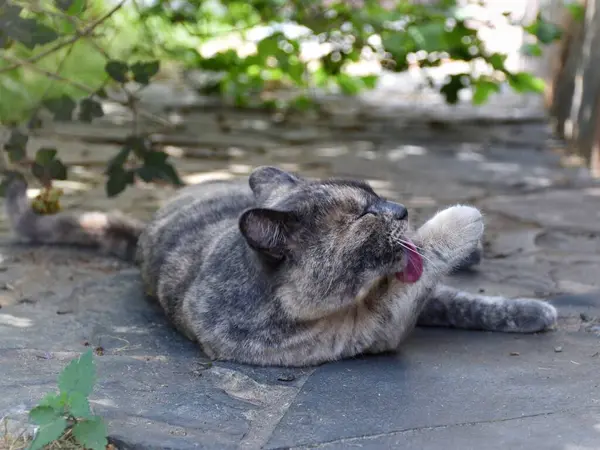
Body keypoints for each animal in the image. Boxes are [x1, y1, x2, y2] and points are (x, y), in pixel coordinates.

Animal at [4, 167, 556, 368]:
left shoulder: (412, 297)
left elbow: (470, 303)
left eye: (377, 195)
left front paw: (531, 311)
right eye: (363, 214)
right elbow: (430, 253)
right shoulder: (380, 324)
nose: (400, 209)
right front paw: (463, 220)